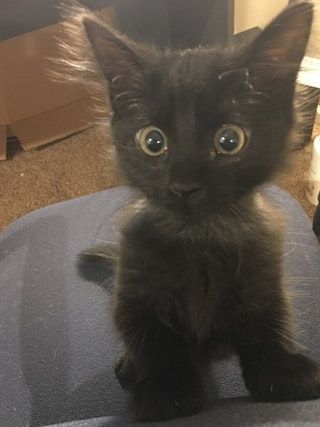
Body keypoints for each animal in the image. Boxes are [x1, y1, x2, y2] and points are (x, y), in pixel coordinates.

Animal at [77, 1, 320, 422]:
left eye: (229, 140)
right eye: (153, 141)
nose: (183, 186)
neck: (200, 238)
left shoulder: (265, 276)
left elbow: (269, 323)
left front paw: (282, 372)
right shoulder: (134, 288)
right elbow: (154, 339)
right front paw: (166, 391)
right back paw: (129, 366)